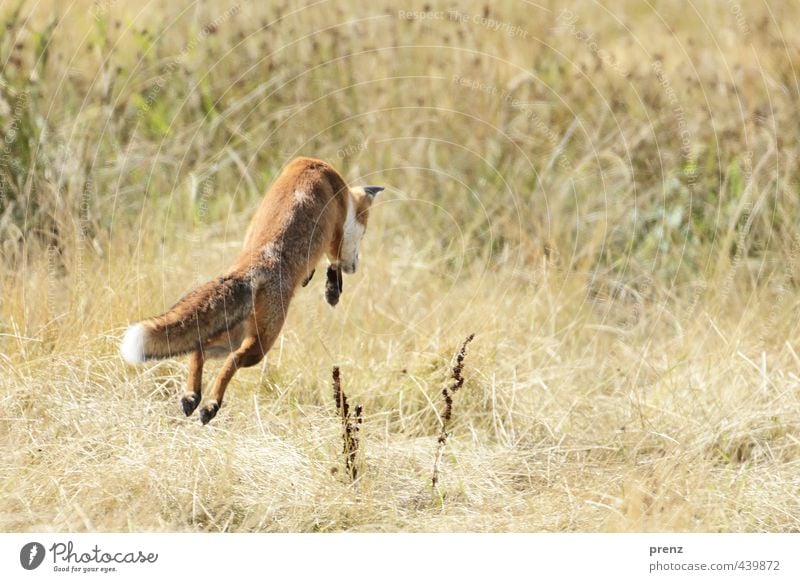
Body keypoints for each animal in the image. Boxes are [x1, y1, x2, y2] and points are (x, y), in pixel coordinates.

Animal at [119, 157, 384, 426]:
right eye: (363, 233)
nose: (356, 266)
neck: (320, 170)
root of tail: (249, 267)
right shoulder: (334, 232)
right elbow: (333, 261)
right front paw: (332, 290)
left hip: (235, 335)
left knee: (199, 348)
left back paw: (191, 396)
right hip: (261, 343)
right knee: (232, 360)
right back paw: (211, 405)